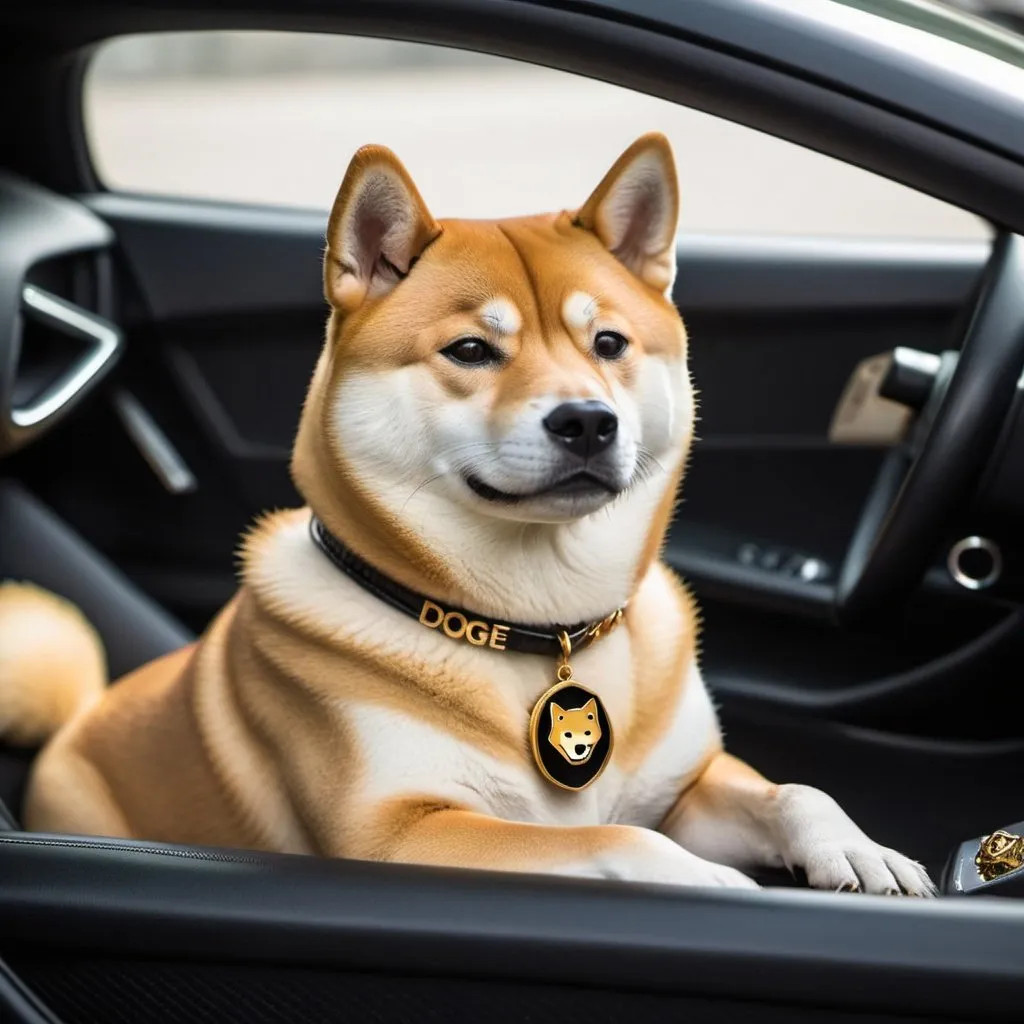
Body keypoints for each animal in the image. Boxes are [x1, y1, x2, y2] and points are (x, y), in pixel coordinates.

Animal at [0, 136, 937, 897]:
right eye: (472, 351)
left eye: (609, 344)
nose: (588, 421)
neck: (538, 627)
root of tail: (78, 718)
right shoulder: (399, 835)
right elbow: (620, 841)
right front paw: (713, 883)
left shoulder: (687, 787)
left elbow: (793, 792)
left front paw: (860, 850)